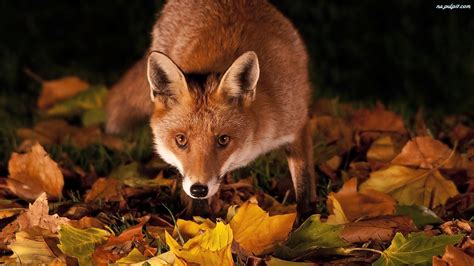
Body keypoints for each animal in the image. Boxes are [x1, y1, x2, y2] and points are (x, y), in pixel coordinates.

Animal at [105, 0, 316, 215]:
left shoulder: (297, 123)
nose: (198, 189)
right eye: (180, 139)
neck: (256, 140)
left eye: (223, 140)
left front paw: (307, 219)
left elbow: (304, 186)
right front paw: (201, 221)